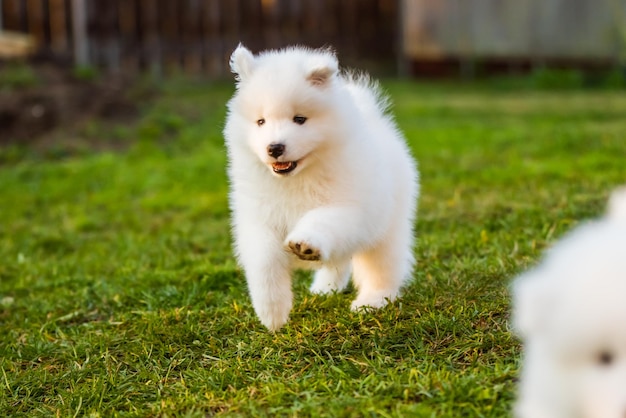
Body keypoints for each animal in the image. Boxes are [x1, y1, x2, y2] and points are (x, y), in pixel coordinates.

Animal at [222, 44, 416, 332]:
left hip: (387, 228)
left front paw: (304, 243)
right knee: (338, 262)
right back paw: (325, 288)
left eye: (300, 119)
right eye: (261, 122)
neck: (296, 179)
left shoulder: (347, 207)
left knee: (382, 269)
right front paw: (273, 313)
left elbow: (320, 220)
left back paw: (372, 302)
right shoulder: (258, 219)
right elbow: (265, 263)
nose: (274, 147)